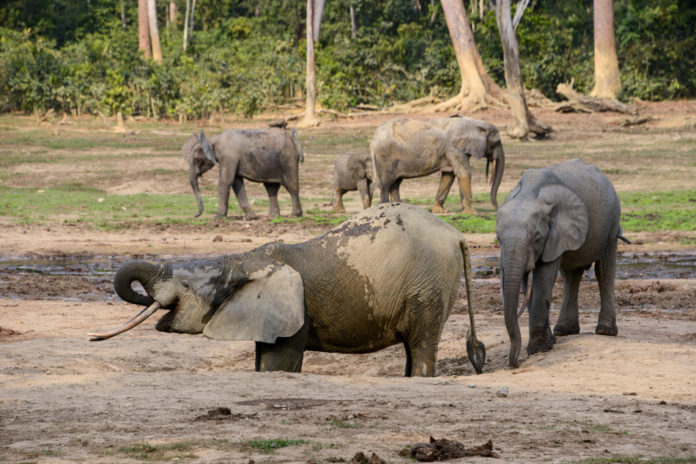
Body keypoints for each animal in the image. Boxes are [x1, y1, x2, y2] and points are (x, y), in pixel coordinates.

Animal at [89, 203, 486, 376]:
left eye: (186, 284)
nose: (93, 337)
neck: (244, 260)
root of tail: (455, 233)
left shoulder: (297, 310)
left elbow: (278, 364)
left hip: (428, 283)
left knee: (421, 345)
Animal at [370, 118, 506, 216]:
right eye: (497, 142)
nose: (497, 208)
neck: (474, 123)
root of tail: (373, 138)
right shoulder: (454, 149)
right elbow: (464, 172)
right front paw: (471, 213)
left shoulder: (450, 152)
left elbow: (448, 175)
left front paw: (440, 211)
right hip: (384, 158)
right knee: (386, 184)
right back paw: (384, 207)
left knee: (395, 184)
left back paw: (401, 207)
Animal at [494, 160, 632, 370]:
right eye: (498, 238)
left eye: (537, 238)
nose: (514, 364)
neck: (530, 194)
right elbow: (532, 284)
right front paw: (548, 343)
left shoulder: (555, 233)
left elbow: (543, 278)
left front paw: (539, 349)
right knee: (571, 275)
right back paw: (563, 331)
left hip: (611, 222)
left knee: (604, 270)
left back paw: (605, 331)